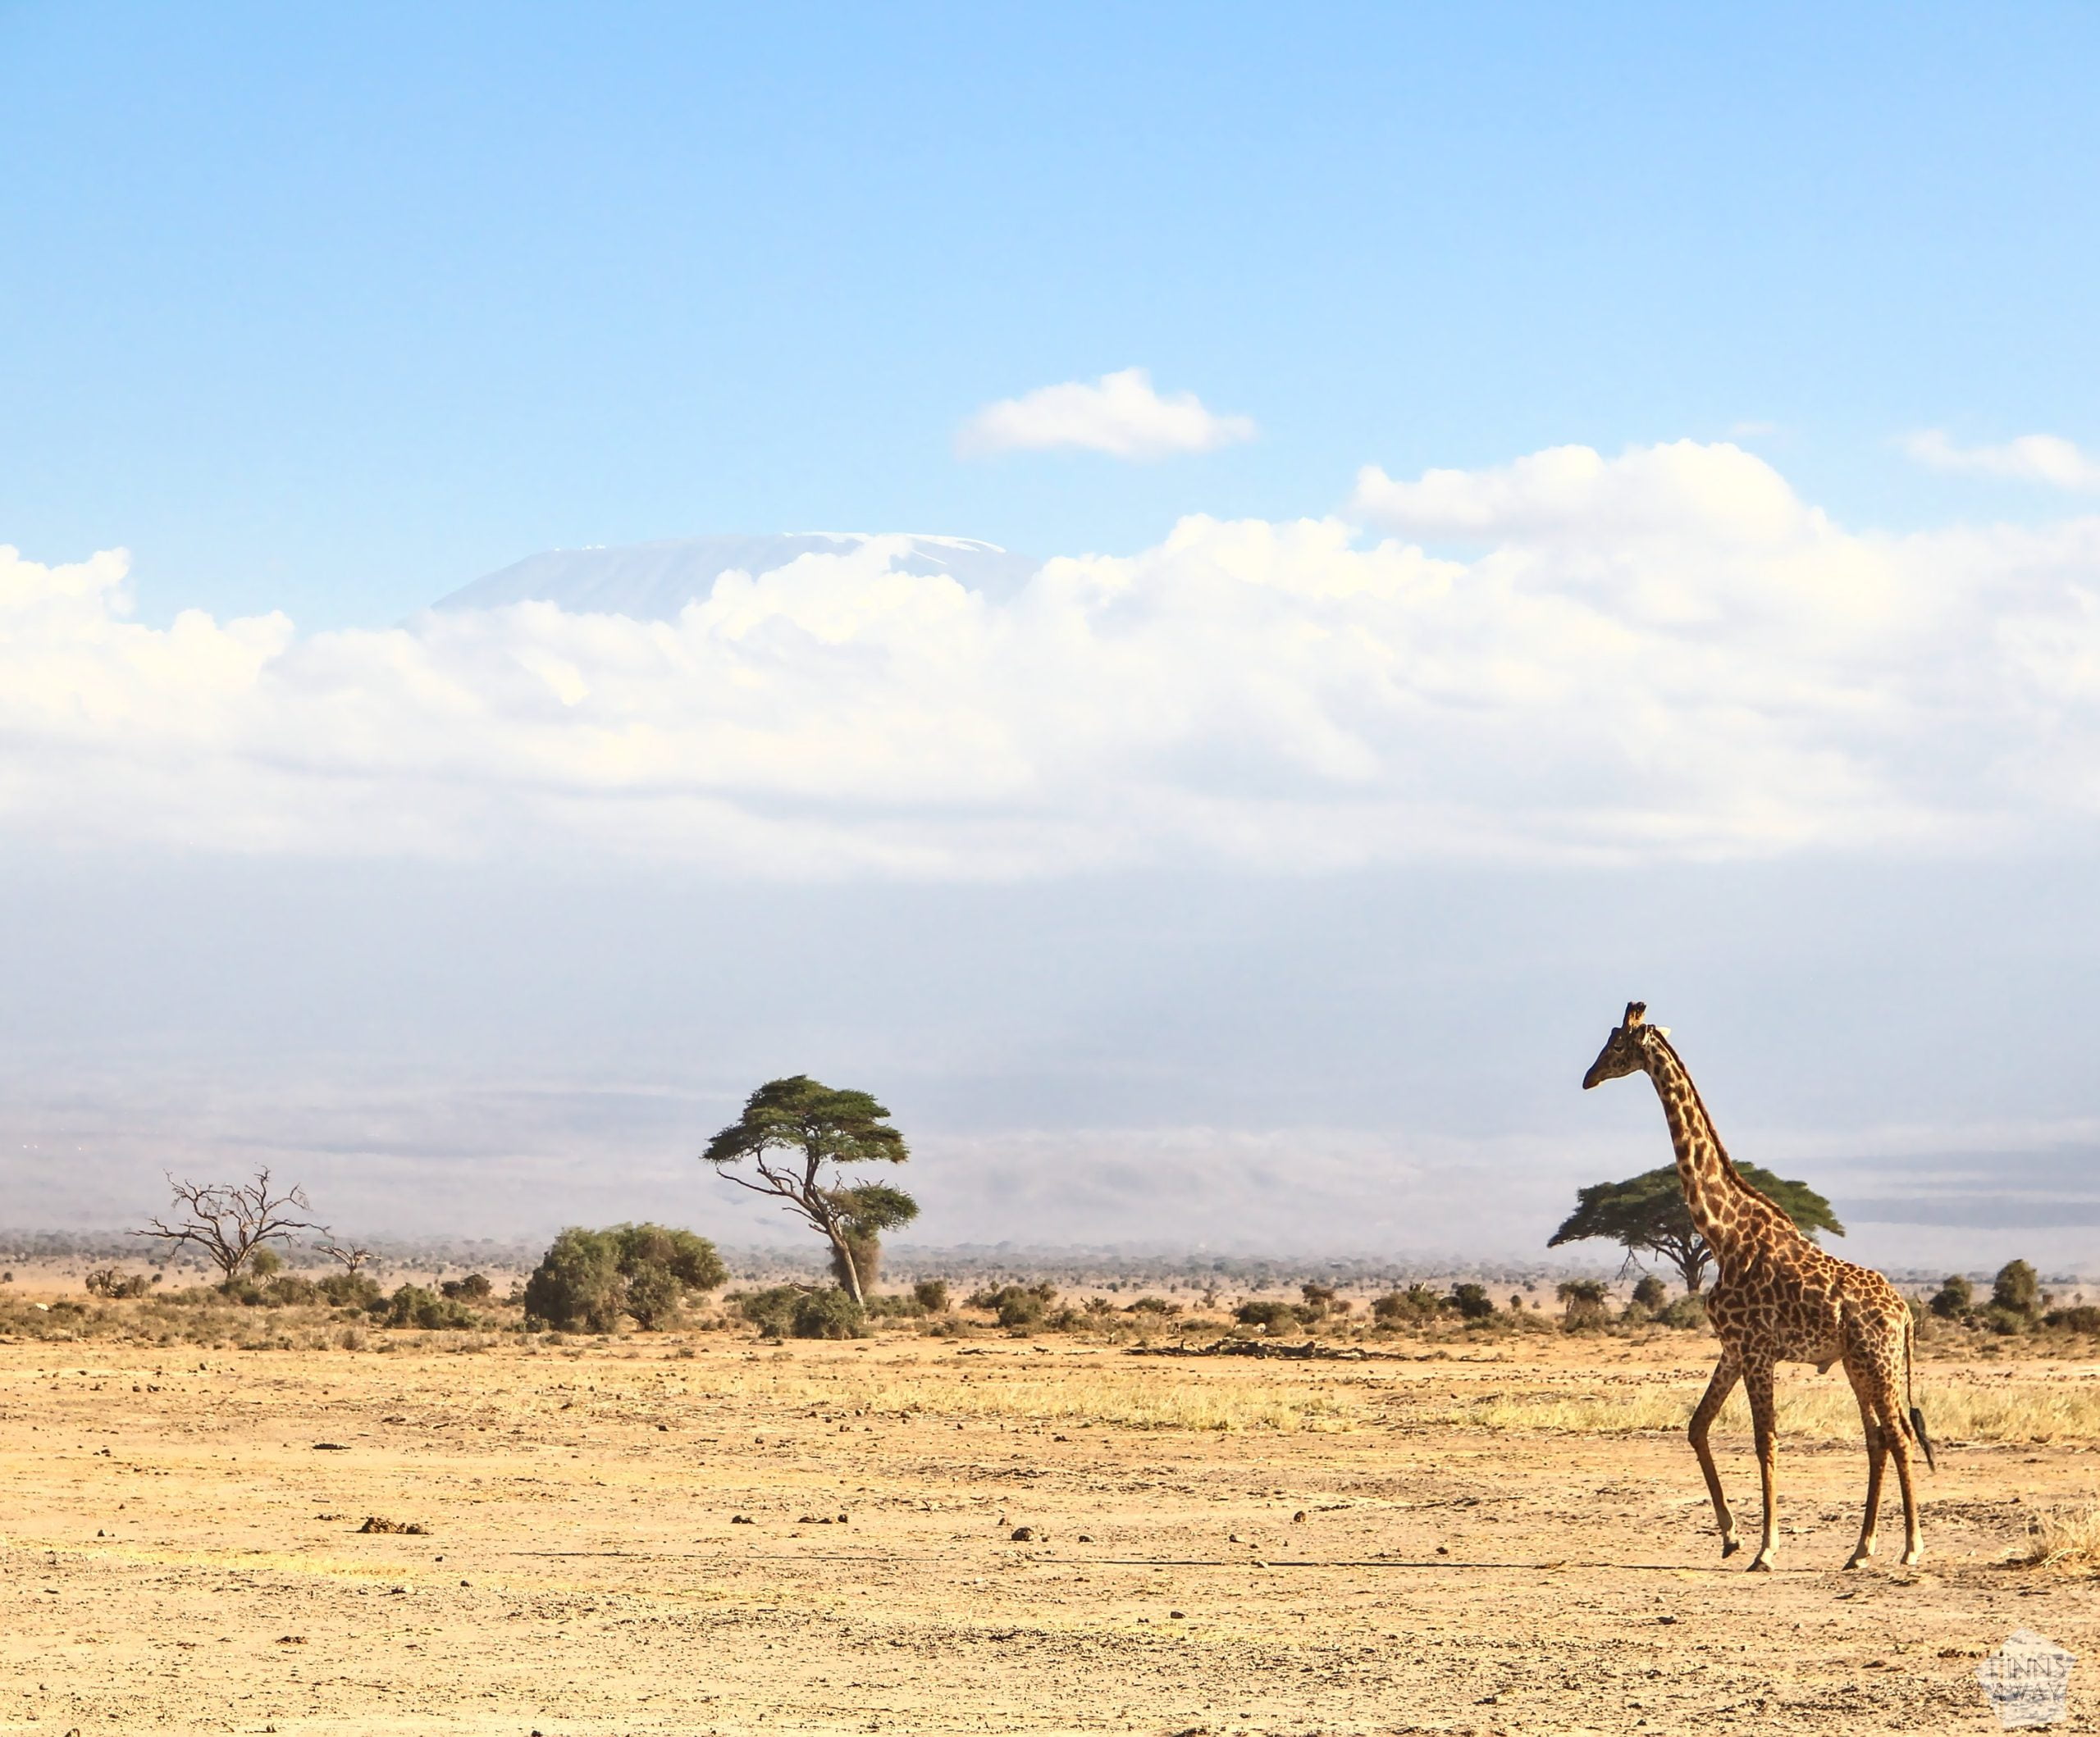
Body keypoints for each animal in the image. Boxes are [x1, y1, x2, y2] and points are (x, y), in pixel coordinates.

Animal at [1582, 1002, 1934, 1571]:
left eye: (1616, 1045)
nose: (1587, 1078)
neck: (1721, 1233)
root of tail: (1903, 1314)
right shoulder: (1732, 1348)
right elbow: (1698, 1427)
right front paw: (1731, 1537)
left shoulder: (1756, 1350)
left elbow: (1764, 1439)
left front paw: (1766, 1549)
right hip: (1859, 1364)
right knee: (1878, 1438)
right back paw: (1860, 1550)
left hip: (1877, 1363)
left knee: (1899, 1436)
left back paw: (1910, 1548)